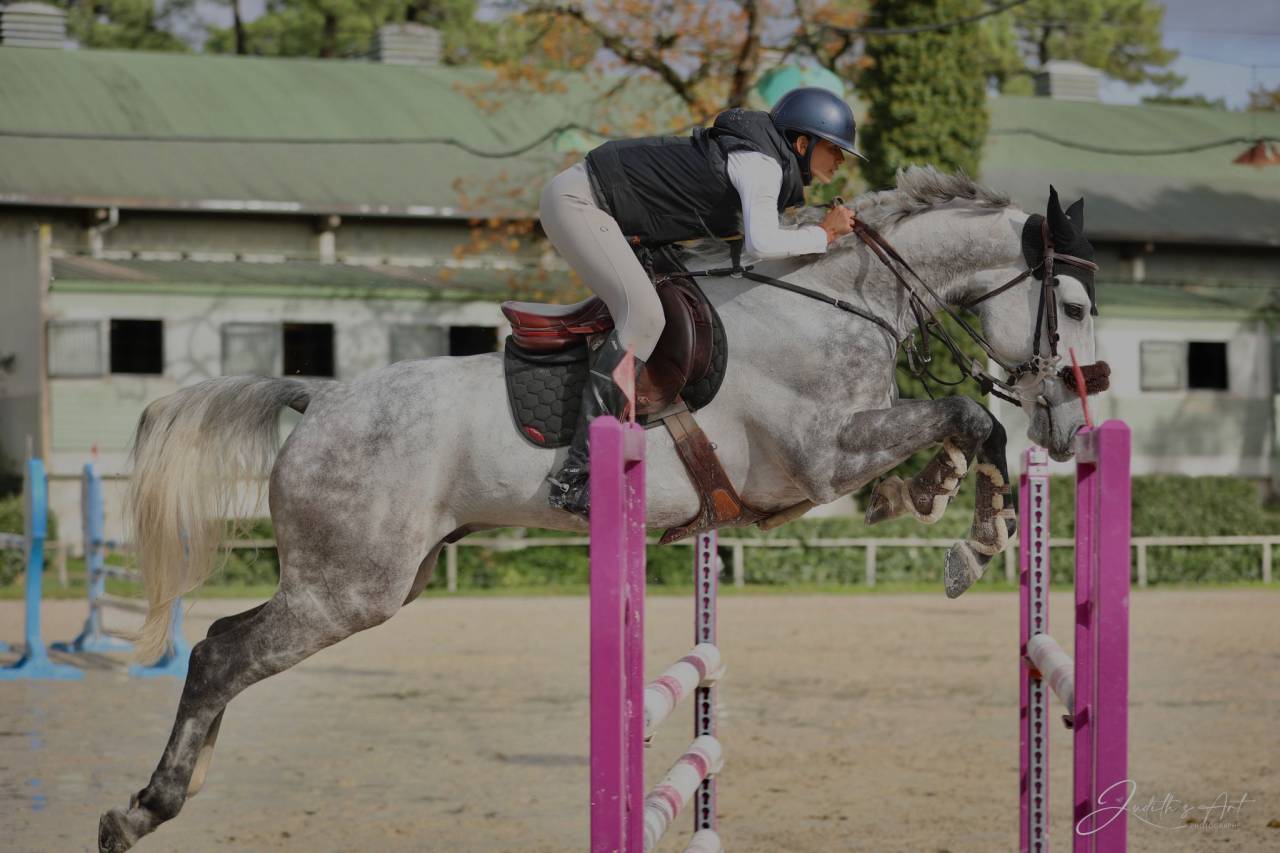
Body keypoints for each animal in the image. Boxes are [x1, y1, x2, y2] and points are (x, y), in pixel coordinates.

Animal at [98, 166, 1103, 851]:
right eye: (1077, 301)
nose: (1073, 417)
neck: (840, 303)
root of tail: (319, 396)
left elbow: (960, 430)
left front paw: (946, 503)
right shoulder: (823, 456)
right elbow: (967, 414)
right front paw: (967, 536)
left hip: (385, 579)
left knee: (226, 648)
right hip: (349, 586)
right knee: (219, 651)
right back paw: (143, 807)